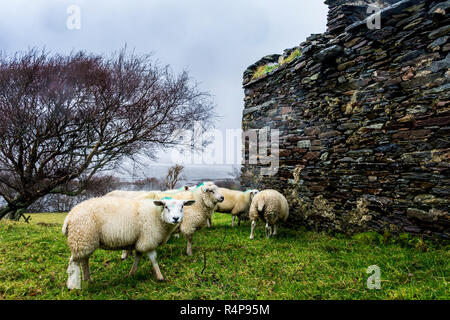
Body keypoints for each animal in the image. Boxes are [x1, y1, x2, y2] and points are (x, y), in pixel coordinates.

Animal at [61, 195, 193, 290]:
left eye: (182, 207)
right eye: (166, 207)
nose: (176, 218)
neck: (157, 215)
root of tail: (70, 215)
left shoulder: (140, 240)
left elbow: (137, 257)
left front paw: (131, 274)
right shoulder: (148, 239)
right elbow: (154, 259)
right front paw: (160, 277)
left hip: (85, 242)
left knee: (84, 260)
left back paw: (88, 279)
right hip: (81, 238)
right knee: (73, 263)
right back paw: (74, 286)